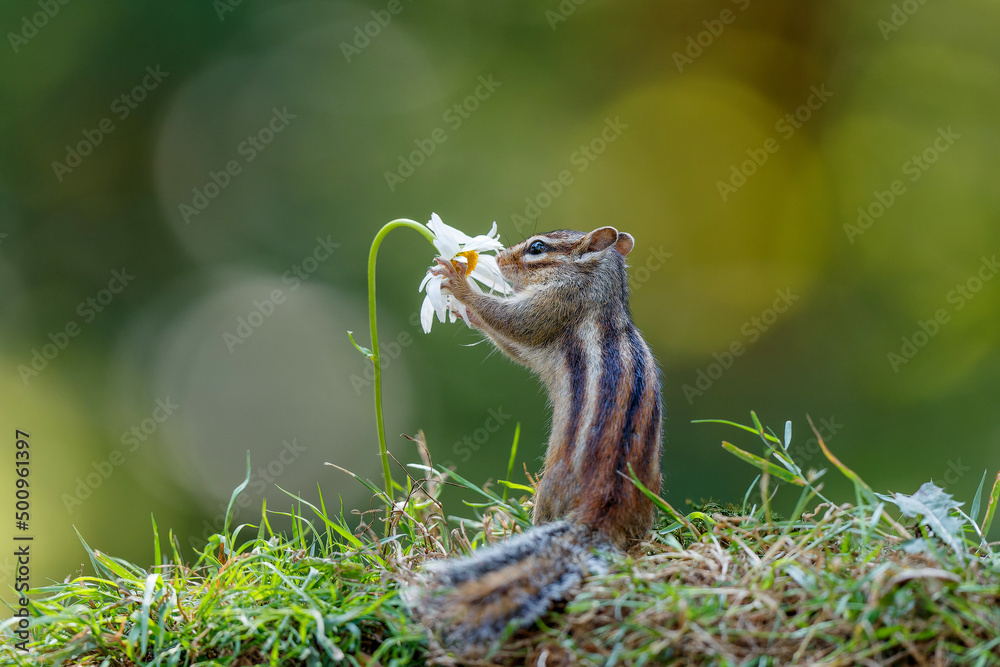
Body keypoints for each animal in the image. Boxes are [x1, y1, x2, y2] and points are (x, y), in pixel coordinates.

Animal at [412, 226, 663, 651]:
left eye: (537, 248)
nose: (498, 259)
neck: (598, 289)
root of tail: (598, 515)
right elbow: (508, 339)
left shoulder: (553, 306)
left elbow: (512, 322)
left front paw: (459, 284)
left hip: (549, 490)